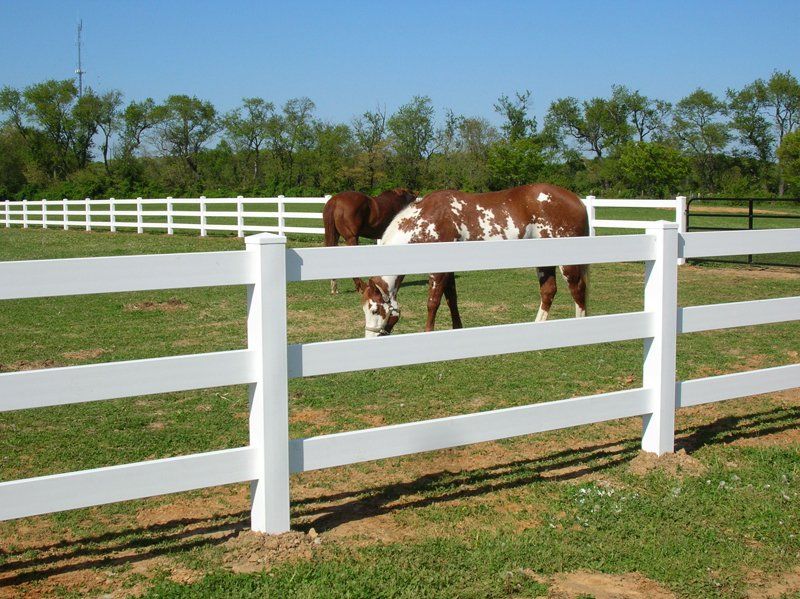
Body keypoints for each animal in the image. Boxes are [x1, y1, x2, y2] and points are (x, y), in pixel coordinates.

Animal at [360, 183, 589, 337]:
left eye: (374, 309)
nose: (370, 337)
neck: (428, 219)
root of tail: (577, 201)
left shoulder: (438, 271)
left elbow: (433, 302)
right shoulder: (448, 269)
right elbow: (451, 300)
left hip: (567, 263)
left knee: (577, 290)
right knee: (548, 291)